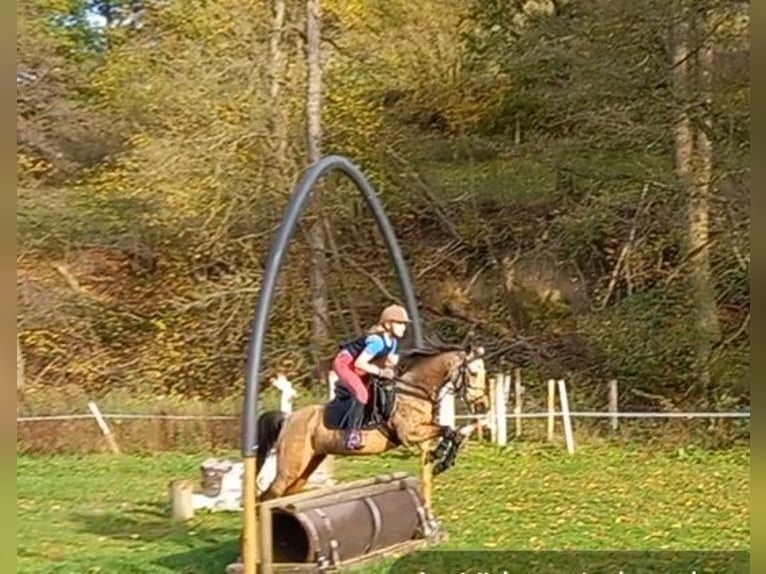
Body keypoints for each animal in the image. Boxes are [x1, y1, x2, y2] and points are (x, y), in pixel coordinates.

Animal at [255, 342, 488, 508]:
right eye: (474, 373)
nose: (482, 405)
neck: (414, 389)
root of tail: (287, 418)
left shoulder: (425, 426)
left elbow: (453, 432)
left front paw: (443, 460)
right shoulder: (409, 434)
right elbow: (448, 430)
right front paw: (439, 456)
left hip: (306, 467)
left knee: (282, 495)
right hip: (290, 468)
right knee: (268, 496)